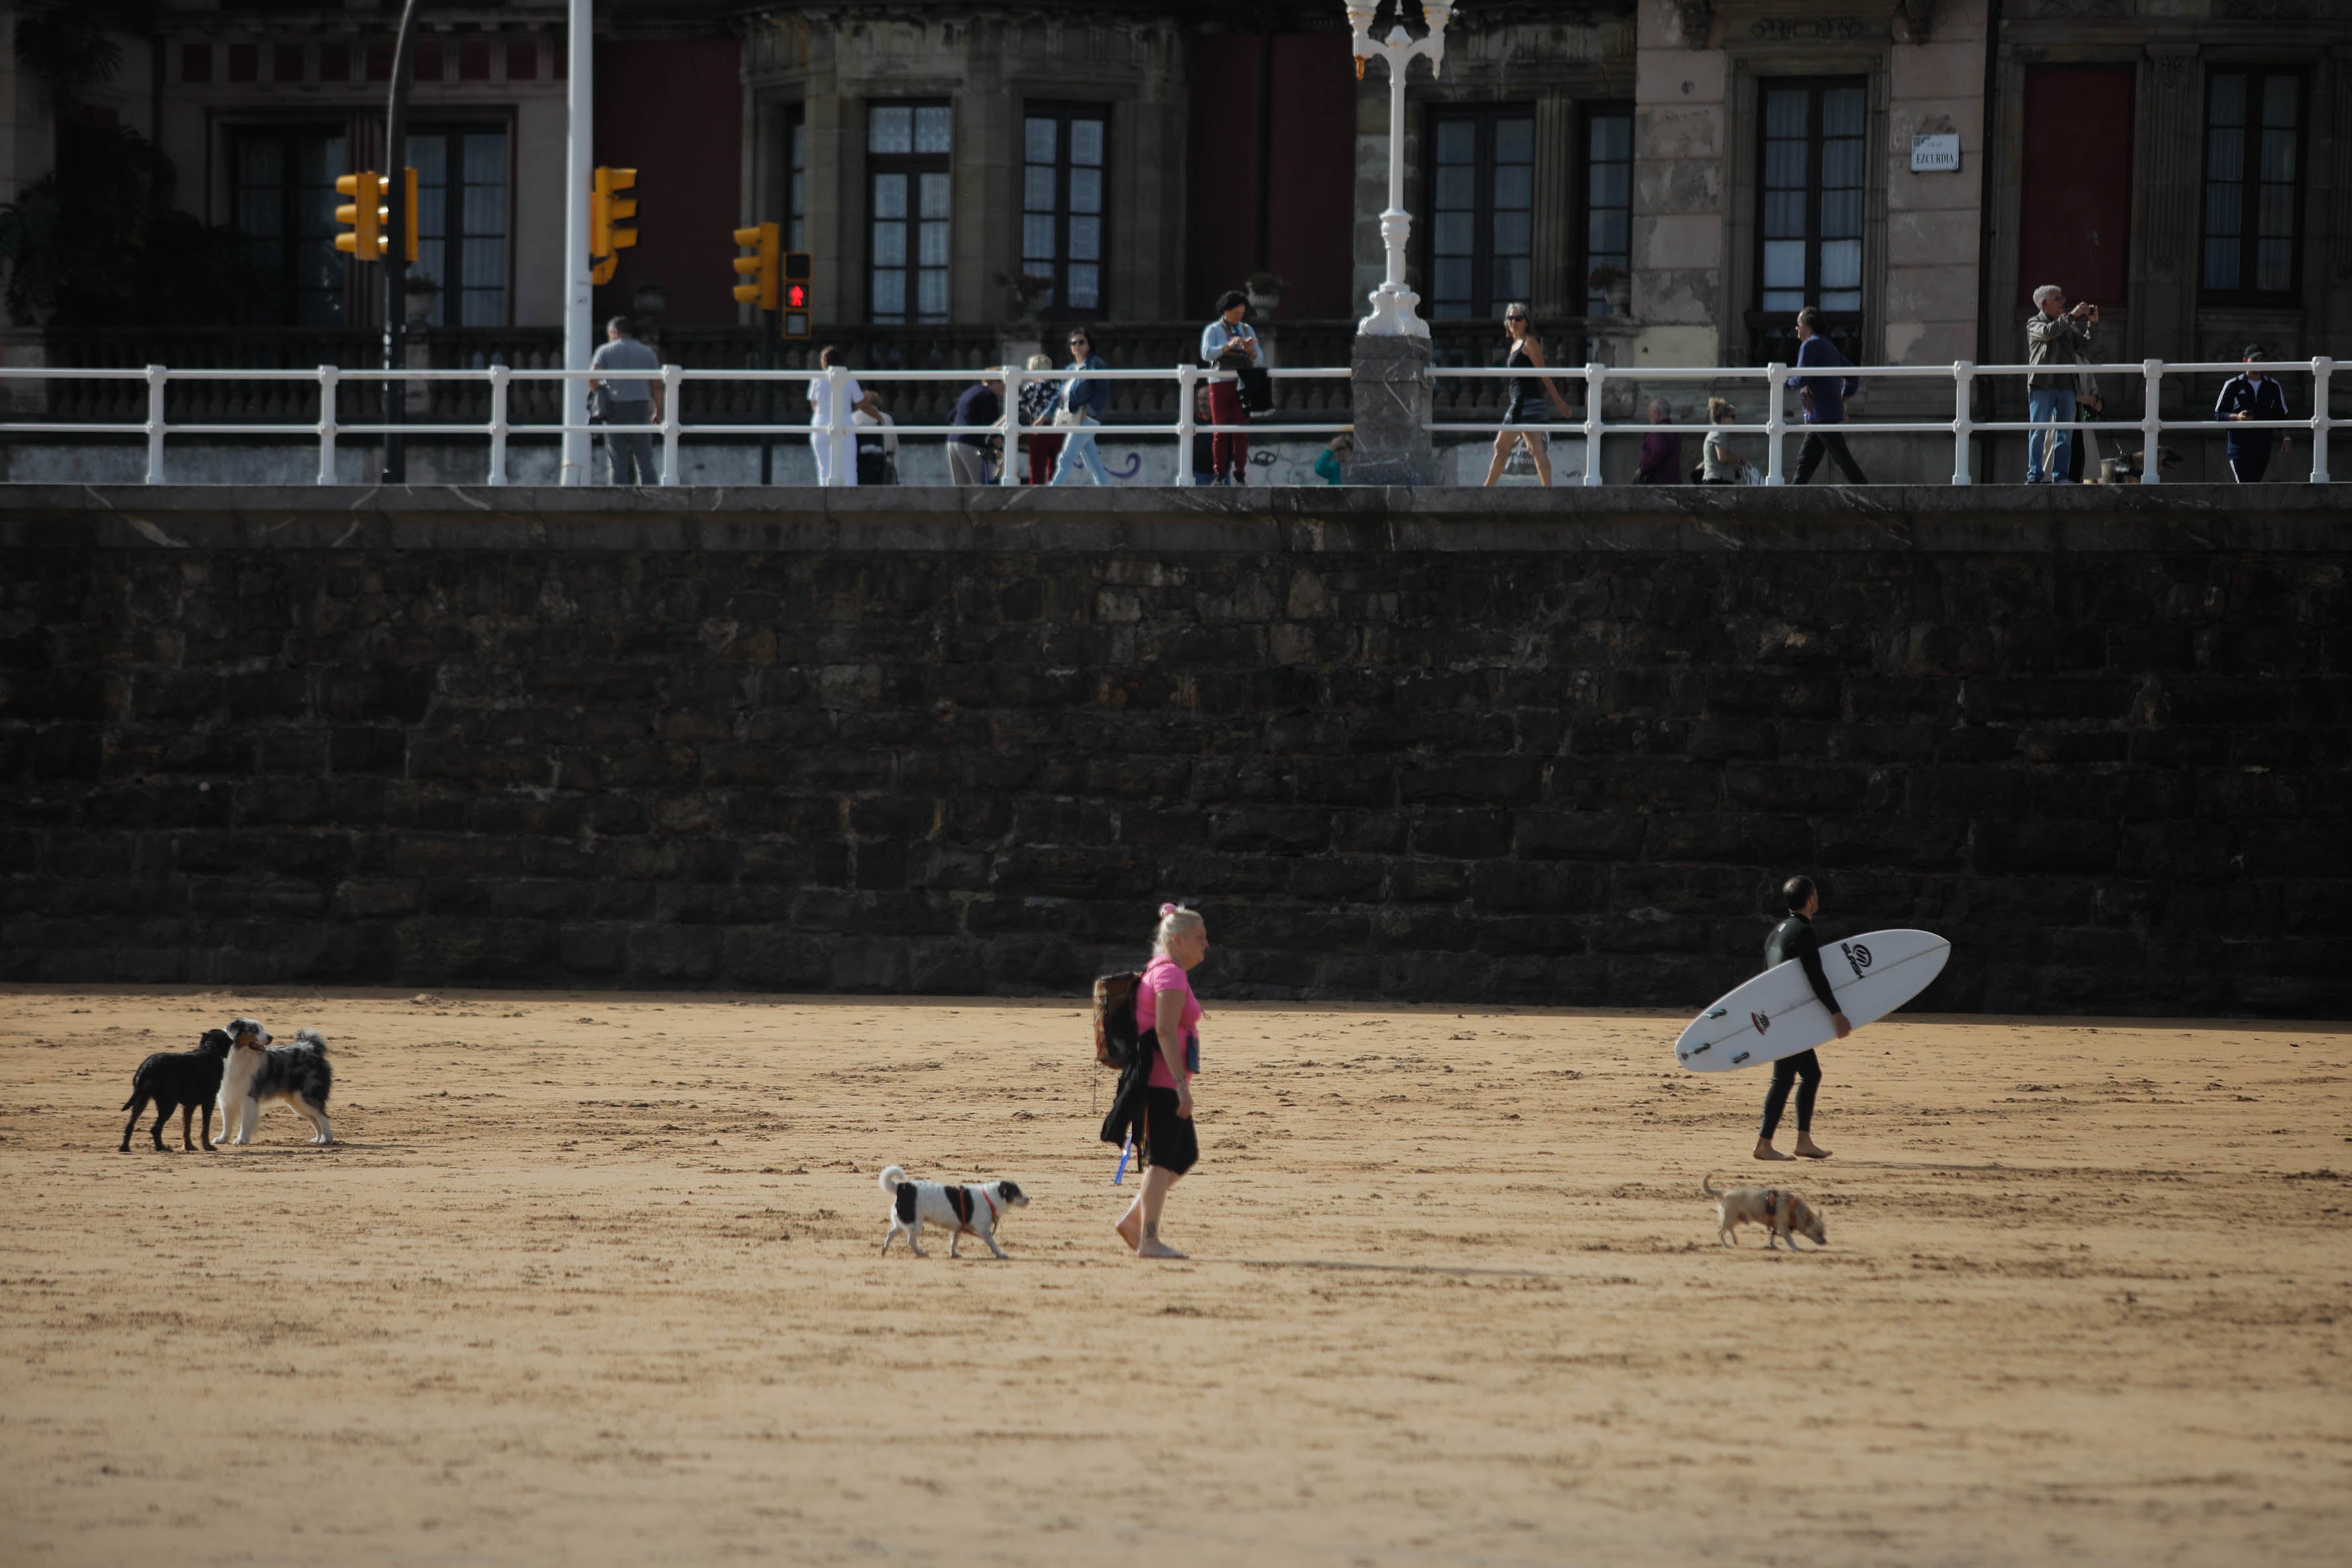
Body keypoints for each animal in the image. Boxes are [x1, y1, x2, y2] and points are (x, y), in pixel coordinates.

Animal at [120, 1029, 235, 1152]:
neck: (210, 1047)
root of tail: (147, 1067)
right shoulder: (209, 1101)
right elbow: (205, 1126)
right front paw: (207, 1146)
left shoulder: (190, 1104)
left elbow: (187, 1126)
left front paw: (189, 1146)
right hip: (168, 1103)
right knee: (155, 1128)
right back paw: (161, 1147)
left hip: (142, 1099)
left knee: (130, 1125)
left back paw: (125, 1147)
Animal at [217, 1025, 338, 1147]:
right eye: (254, 1030)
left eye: (261, 1029)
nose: (271, 1037)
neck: (238, 1056)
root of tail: (310, 1049)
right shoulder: (226, 1098)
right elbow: (227, 1122)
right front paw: (223, 1139)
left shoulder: (249, 1097)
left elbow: (245, 1122)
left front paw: (242, 1139)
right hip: (297, 1102)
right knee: (315, 1119)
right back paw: (318, 1139)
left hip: (306, 1096)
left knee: (322, 1116)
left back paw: (326, 1138)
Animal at [879, 1166, 1025, 1260]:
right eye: (1018, 1193)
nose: (1028, 1199)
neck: (990, 1197)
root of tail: (901, 1187)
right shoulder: (984, 1230)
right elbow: (993, 1244)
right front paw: (1000, 1255)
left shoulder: (958, 1229)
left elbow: (954, 1242)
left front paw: (953, 1254)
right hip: (915, 1223)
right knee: (911, 1241)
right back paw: (921, 1253)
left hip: (904, 1222)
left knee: (891, 1234)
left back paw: (884, 1250)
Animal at [1702, 1175, 1825, 1251]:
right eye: (1818, 1233)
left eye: (1824, 1233)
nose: (1825, 1242)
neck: (1794, 1209)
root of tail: (1725, 1193)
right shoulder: (1783, 1228)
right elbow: (1790, 1239)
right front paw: (1796, 1248)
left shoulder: (1776, 1227)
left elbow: (1773, 1236)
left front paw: (1773, 1245)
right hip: (1731, 1218)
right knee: (1721, 1232)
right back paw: (1726, 1245)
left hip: (1738, 1218)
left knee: (1730, 1228)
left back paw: (1735, 1240)